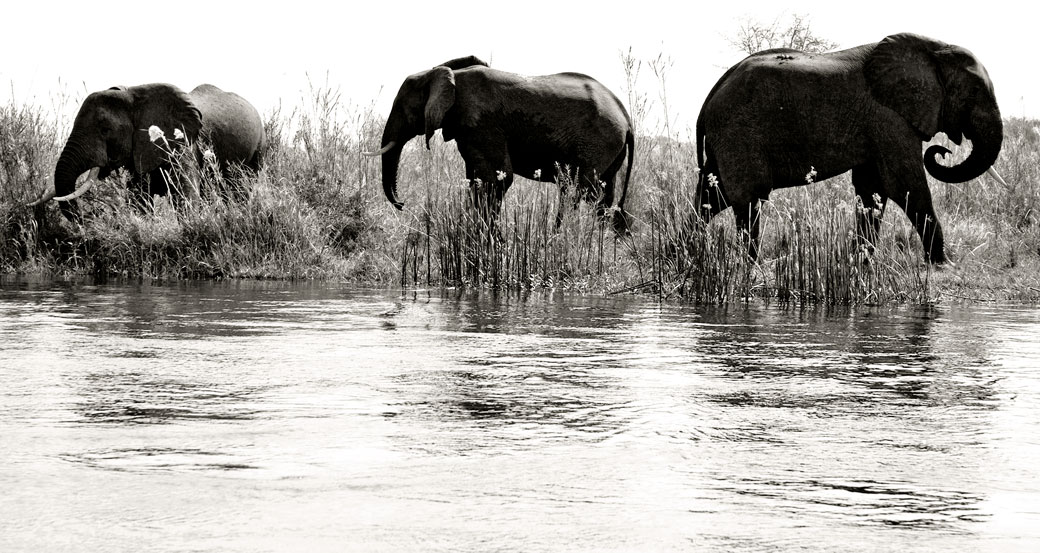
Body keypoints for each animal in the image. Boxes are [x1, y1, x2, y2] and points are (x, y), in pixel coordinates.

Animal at [30, 83, 266, 219]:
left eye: (105, 130)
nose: (91, 216)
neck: (133, 95)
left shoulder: (183, 146)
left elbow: (186, 197)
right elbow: (138, 200)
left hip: (260, 146)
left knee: (241, 190)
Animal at [366, 56, 640, 235]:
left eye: (403, 108)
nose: (402, 204)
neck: (445, 75)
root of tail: (626, 119)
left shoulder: (482, 124)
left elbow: (496, 179)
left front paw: (488, 238)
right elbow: (476, 180)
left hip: (597, 140)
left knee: (575, 189)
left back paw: (560, 237)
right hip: (609, 147)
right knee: (603, 194)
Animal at [694, 32, 1002, 264]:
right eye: (975, 92)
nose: (943, 151)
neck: (933, 48)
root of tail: (712, 94)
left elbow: (872, 189)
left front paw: (860, 261)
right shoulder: (888, 117)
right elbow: (905, 185)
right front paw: (942, 264)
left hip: (727, 137)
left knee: (711, 195)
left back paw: (689, 251)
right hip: (740, 132)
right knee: (749, 198)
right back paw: (751, 264)